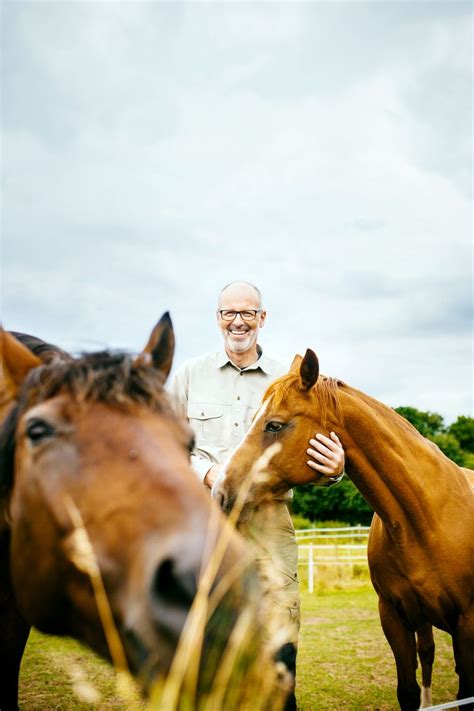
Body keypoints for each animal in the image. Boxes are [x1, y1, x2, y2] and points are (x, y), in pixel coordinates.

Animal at [216, 350, 474, 711]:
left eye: (274, 424)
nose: (220, 491)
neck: (426, 518)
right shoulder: (393, 617)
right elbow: (408, 691)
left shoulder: (467, 625)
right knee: (428, 653)